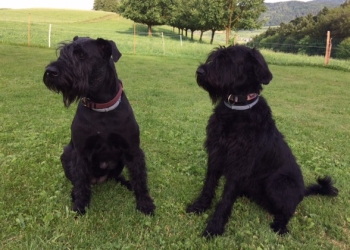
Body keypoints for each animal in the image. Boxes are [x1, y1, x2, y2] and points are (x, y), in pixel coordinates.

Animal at [42, 35, 154, 215]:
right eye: (63, 52)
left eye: (81, 55)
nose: (50, 71)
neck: (101, 106)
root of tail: (99, 180)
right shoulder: (80, 152)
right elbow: (80, 181)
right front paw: (80, 205)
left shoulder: (133, 150)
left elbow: (140, 177)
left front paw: (145, 203)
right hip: (66, 154)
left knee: (117, 176)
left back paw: (128, 184)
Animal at [187, 45, 338, 238]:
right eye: (214, 57)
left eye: (227, 59)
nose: (200, 71)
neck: (237, 110)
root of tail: (303, 191)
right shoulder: (216, 153)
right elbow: (209, 184)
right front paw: (200, 206)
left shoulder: (239, 164)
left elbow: (226, 198)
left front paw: (215, 226)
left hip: (278, 184)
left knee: (287, 212)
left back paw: (280, 226)